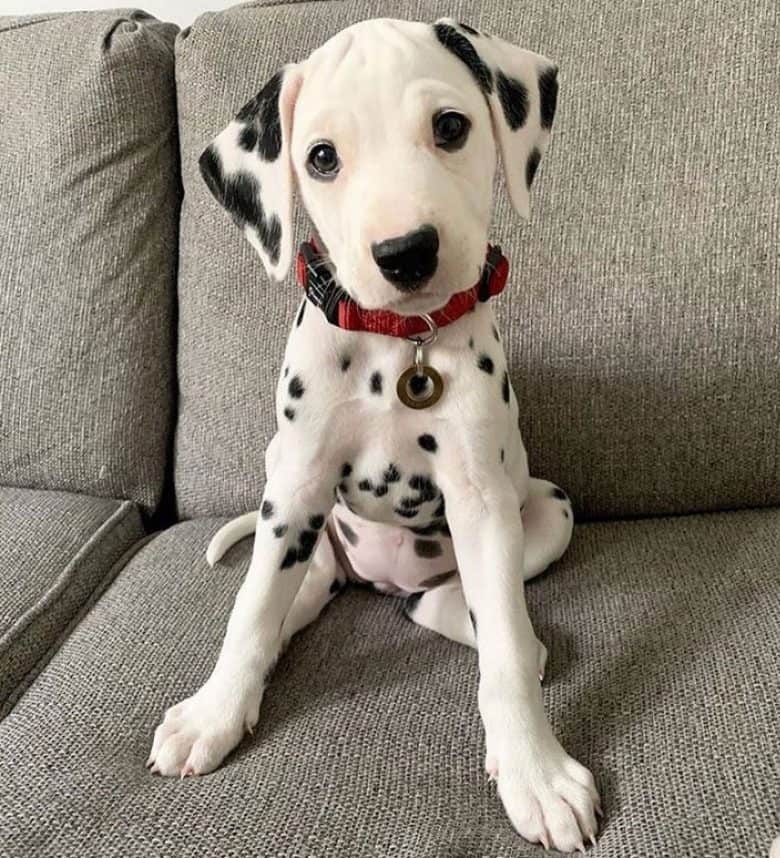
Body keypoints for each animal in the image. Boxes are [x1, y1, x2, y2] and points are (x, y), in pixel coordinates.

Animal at [149, 18, 600, 848]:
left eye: (450, 127)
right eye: (322, 157)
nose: (405, 253)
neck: (402, 345)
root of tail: (382, 579)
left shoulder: (482, 503)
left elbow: (504, 651)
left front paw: (536, 772)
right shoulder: (295, 488)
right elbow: (250, 612)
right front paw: (215, 713)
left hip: (546, 508)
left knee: (453, 610)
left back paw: (501, 633)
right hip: (299, 514)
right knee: (294, 593)